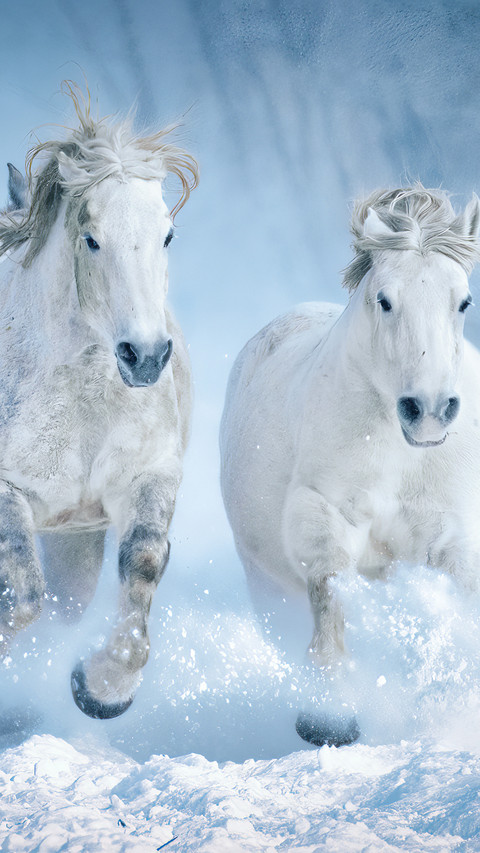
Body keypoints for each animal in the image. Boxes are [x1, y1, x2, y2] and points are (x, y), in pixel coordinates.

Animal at [0, 85, 198, 719]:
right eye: (92, 239)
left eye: (167, 235)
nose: (146, 356)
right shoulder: (8, 491)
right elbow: (22, 597)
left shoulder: (146, 477)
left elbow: (143, 563)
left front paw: (102, 688)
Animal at [220, 185, 480, 747]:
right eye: (384, 299)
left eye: (463, 301)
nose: (428, 409)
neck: (401, 455)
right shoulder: (321, 510)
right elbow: (330, 588)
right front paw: (328, 715)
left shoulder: (449, 531)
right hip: (267, 585)